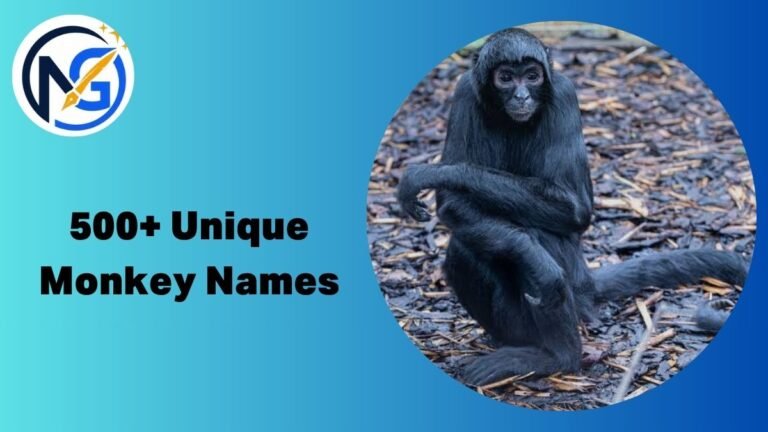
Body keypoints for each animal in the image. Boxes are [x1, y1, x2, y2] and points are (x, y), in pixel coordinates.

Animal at [396, 28, 747, 385]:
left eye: (532, 76)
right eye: (505, 78)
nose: (522, 97)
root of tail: (584, 280)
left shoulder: (563, 95)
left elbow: (574, 209)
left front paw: (439, 173)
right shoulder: (466, 92)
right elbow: (454, 204)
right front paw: (531, 255)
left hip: (573, 296)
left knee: (537, 237)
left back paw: (558, 357)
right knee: (467, 246)